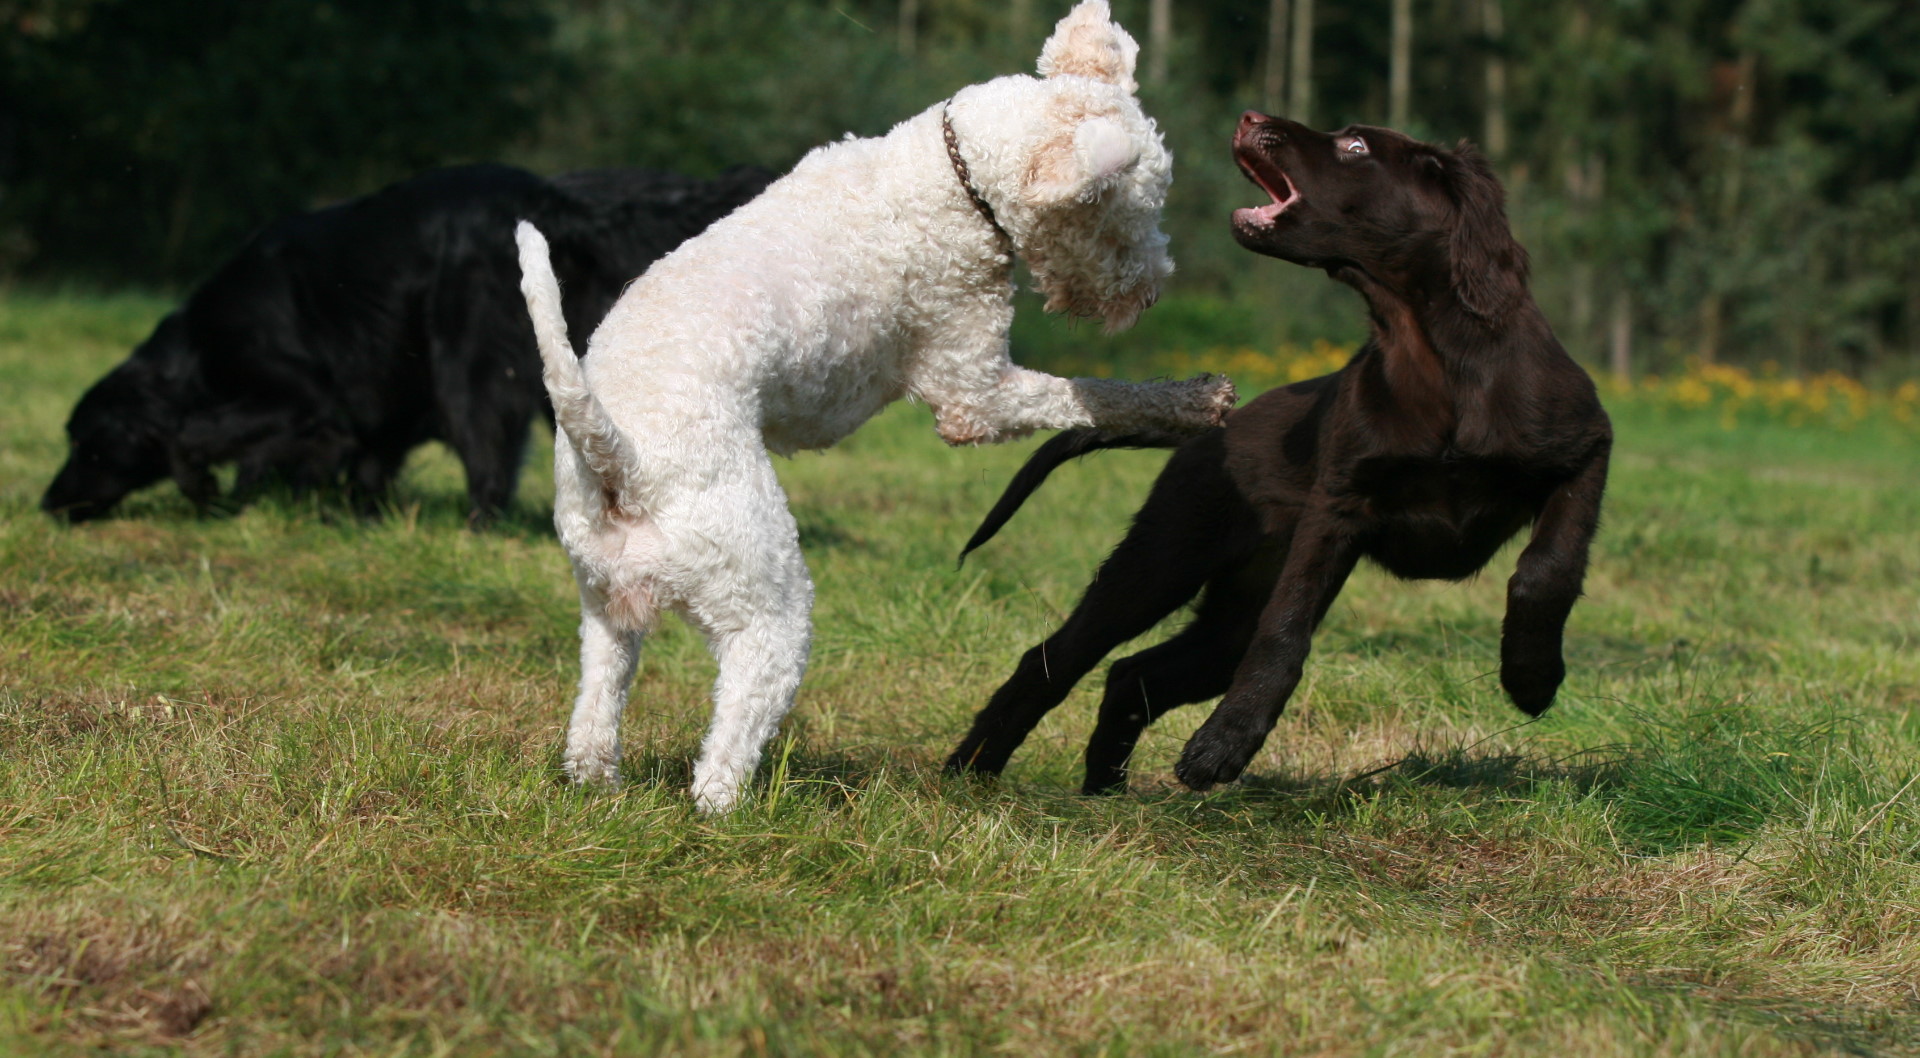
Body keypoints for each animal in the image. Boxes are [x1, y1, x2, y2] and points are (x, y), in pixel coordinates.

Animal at [39, 162, 771, 526]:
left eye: (86, 442)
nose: (46, 505)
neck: (194, 353)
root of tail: (549, 199)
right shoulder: (369, 405)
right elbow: (356, 459)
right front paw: (348, 513)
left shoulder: (304, 395)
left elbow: (193, 435)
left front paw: (208, 492)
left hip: (468, 362)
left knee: (487, 456)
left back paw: (480, 526)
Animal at [510, 0, 1236, 810]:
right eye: (1122, 215)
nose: (1151, 291)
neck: (957, 174)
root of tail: (618, 453)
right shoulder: (972, 390)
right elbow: (1097, 398)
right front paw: (1195, 400)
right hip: (763, 592)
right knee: (731, 733)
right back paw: (735, 807)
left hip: (606, 602)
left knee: (596, 709)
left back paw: (598, 784)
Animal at [952, 111, 1612, 798]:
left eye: (1356, 147)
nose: (1251, 118)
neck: (1434, 360)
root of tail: (1214, 429)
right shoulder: (1336, 506)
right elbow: (1285, 632)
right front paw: (1226, 744)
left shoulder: (1587, 449)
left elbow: (1548, 568)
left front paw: (1530, 674)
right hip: (1162, 558)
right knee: (1055, 659)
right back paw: (971, 771)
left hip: (1229, 608)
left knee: (1132, 674)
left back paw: (1104, 790)